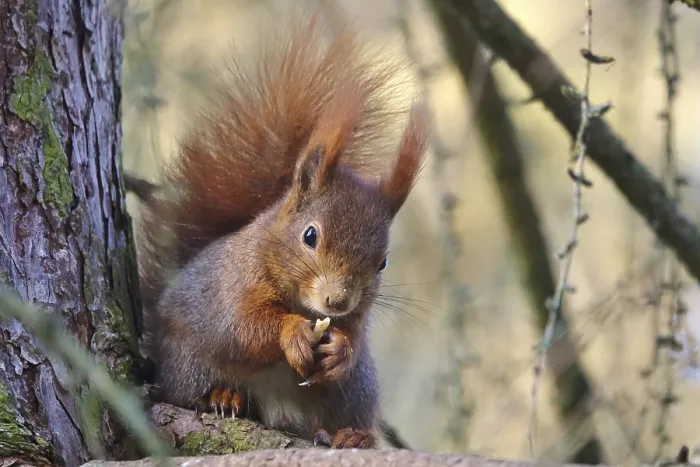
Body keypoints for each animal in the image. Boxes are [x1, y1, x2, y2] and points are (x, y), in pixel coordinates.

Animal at [128, 13, 428, 450]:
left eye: (383, 263)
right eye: (310, 236)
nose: (338, 301)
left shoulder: (358, 318)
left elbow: (353, 340)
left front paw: (341, 349)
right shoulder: (232, 289)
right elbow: (244, 328)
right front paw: (293, 333)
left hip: (353, 390)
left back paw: (353, 436)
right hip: (189, 363)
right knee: (193, 388)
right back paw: (224, 397)